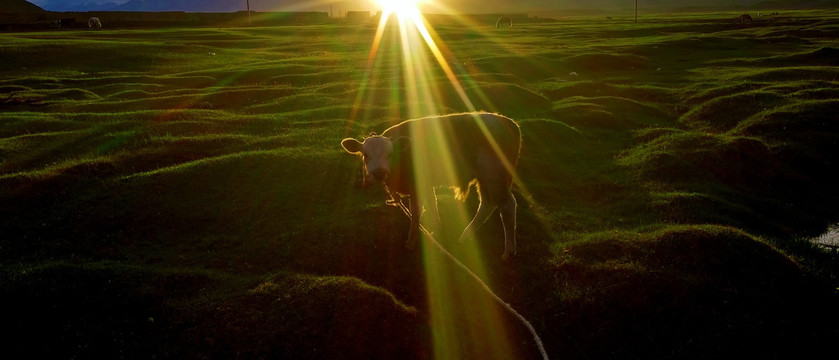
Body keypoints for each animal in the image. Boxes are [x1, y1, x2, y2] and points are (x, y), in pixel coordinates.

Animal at [340, 112, 520, 262]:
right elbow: (432, 204)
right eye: (365, 155)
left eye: (390, 154)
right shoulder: (426, 184)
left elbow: (416, 213)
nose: (379, 173)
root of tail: (510, 123)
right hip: (484, 179)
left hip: (494, 177)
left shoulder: (415, 187)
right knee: (487, 204)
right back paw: (465, 236)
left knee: (507, 206)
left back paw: (509, 251)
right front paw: (436, 229)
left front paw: (411, 242)